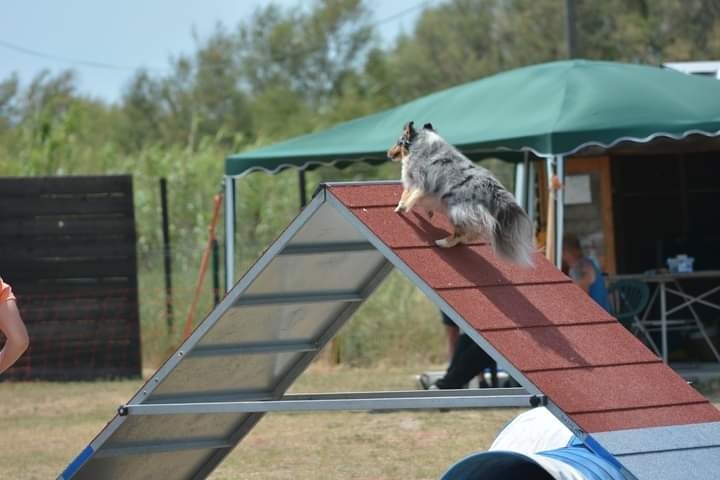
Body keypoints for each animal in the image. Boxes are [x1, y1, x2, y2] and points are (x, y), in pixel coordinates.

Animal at [388, 121, 536, 266]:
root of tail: (494, 191)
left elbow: (406, 195)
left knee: (461, 234)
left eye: (398, 142)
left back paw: (442, 242)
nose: (388, 153)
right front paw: (427, 212)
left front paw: (400, 208)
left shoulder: (418, 181)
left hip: (456, 210)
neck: (421, 143)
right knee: (473, 233)